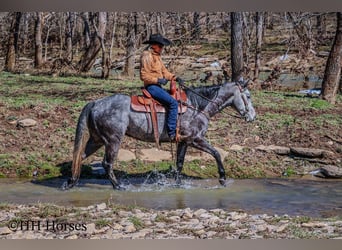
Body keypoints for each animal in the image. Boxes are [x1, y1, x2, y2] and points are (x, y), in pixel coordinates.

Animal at [65, 79, 256, 189]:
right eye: (247, 95)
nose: (252, 116)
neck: (198, 107)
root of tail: (95, 103)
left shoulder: (184, 142)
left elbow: (179, 163)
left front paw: (178, 184)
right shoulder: (195, 139)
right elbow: (216, 153)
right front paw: (222, 178)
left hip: (96, 140)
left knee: (79, 157)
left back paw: (72, 182)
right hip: (113, 140)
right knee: (107, 163)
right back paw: (118, 186)